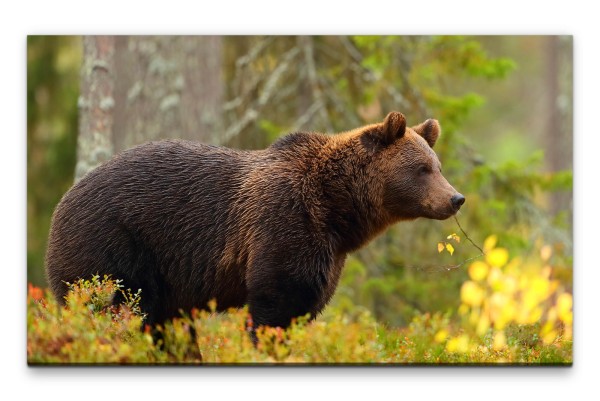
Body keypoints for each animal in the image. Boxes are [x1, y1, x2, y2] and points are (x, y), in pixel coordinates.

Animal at [45, 111, 464, 334]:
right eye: (422, 168)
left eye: (438, 166)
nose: (456, 198)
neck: (336, 210)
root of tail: (61, 202)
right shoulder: (282, 223)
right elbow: (275, 302)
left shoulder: (327, 255)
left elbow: (306, 306)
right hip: (112, 248)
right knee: (113, 306)